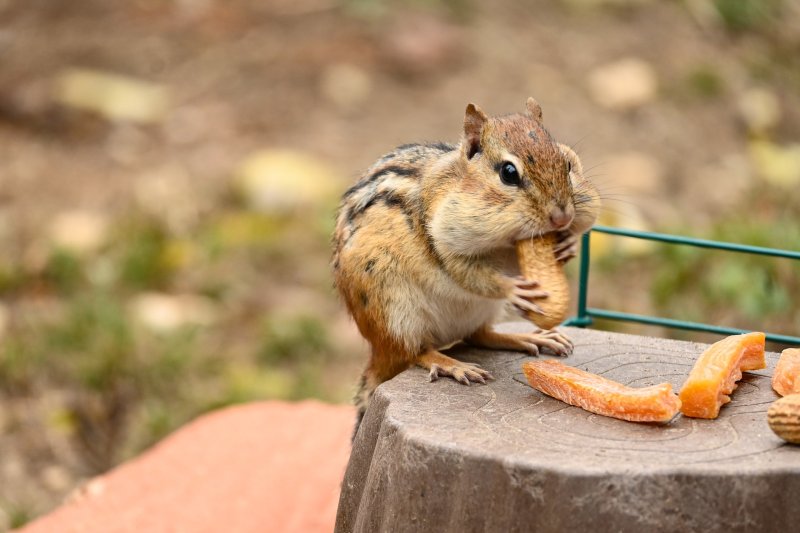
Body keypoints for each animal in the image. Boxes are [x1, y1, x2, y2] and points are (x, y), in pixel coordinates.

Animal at [332, 97, 600, 434]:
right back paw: (451, 364)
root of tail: (376, 352)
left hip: (480, 311)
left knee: (479, 335)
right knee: (413, 352)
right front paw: (513, 289)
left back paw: (529, 337)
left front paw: (569, 244)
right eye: (508, 173)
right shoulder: (444, 241)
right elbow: (466, 272)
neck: (505, 243)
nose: (562, 217)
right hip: (395, 312)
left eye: (567, 163)